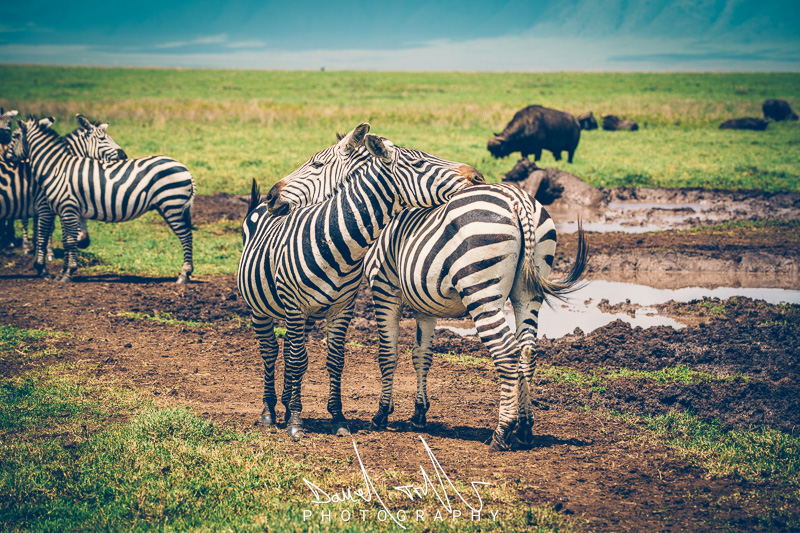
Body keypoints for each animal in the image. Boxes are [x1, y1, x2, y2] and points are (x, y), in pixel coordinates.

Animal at [10, 116, 195, 283]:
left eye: (15, 136)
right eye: (102, 139)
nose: (6, 156)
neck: (56, 168)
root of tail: (184, 168)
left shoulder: (67, 208)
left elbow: (67, 240)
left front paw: (67, 273)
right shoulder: (65, 210)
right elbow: (66, 240)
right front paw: (62, 272)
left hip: (172, 205)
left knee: (186, 236)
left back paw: (184, 275)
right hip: (170, 207)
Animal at [238, 123, 484, 439]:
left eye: (316, 164)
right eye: (419, 163)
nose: (477, 177)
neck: (335, 239)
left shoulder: (343, 307)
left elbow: (334, 360)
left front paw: (338, 418)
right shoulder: (299, 305)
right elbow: (298, 360)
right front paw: (296, 421)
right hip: (260, 309)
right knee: (271, 351)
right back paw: (269, 411)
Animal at [267, 156, 588, 452]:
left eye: (315, 165)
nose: (270, 196)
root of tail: (517, 199)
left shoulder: (384, 289)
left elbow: (388, 354)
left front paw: (381, 414)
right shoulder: (426, 303)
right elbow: (422, 355)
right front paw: (419, 413)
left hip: (482, 293)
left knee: (506, 351)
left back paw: (501, 432)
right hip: (527, 292)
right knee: (527, 351)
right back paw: (525, 428)